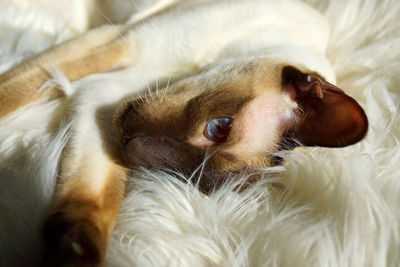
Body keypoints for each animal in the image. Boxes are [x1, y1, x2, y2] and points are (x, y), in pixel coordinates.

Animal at [0, 0, 368, 266]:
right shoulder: (118, 44)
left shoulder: (101, 99)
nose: (130, 145)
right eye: (219, 127)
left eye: (188, 178)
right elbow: (12, 92)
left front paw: (69, 255)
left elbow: (88, 207)